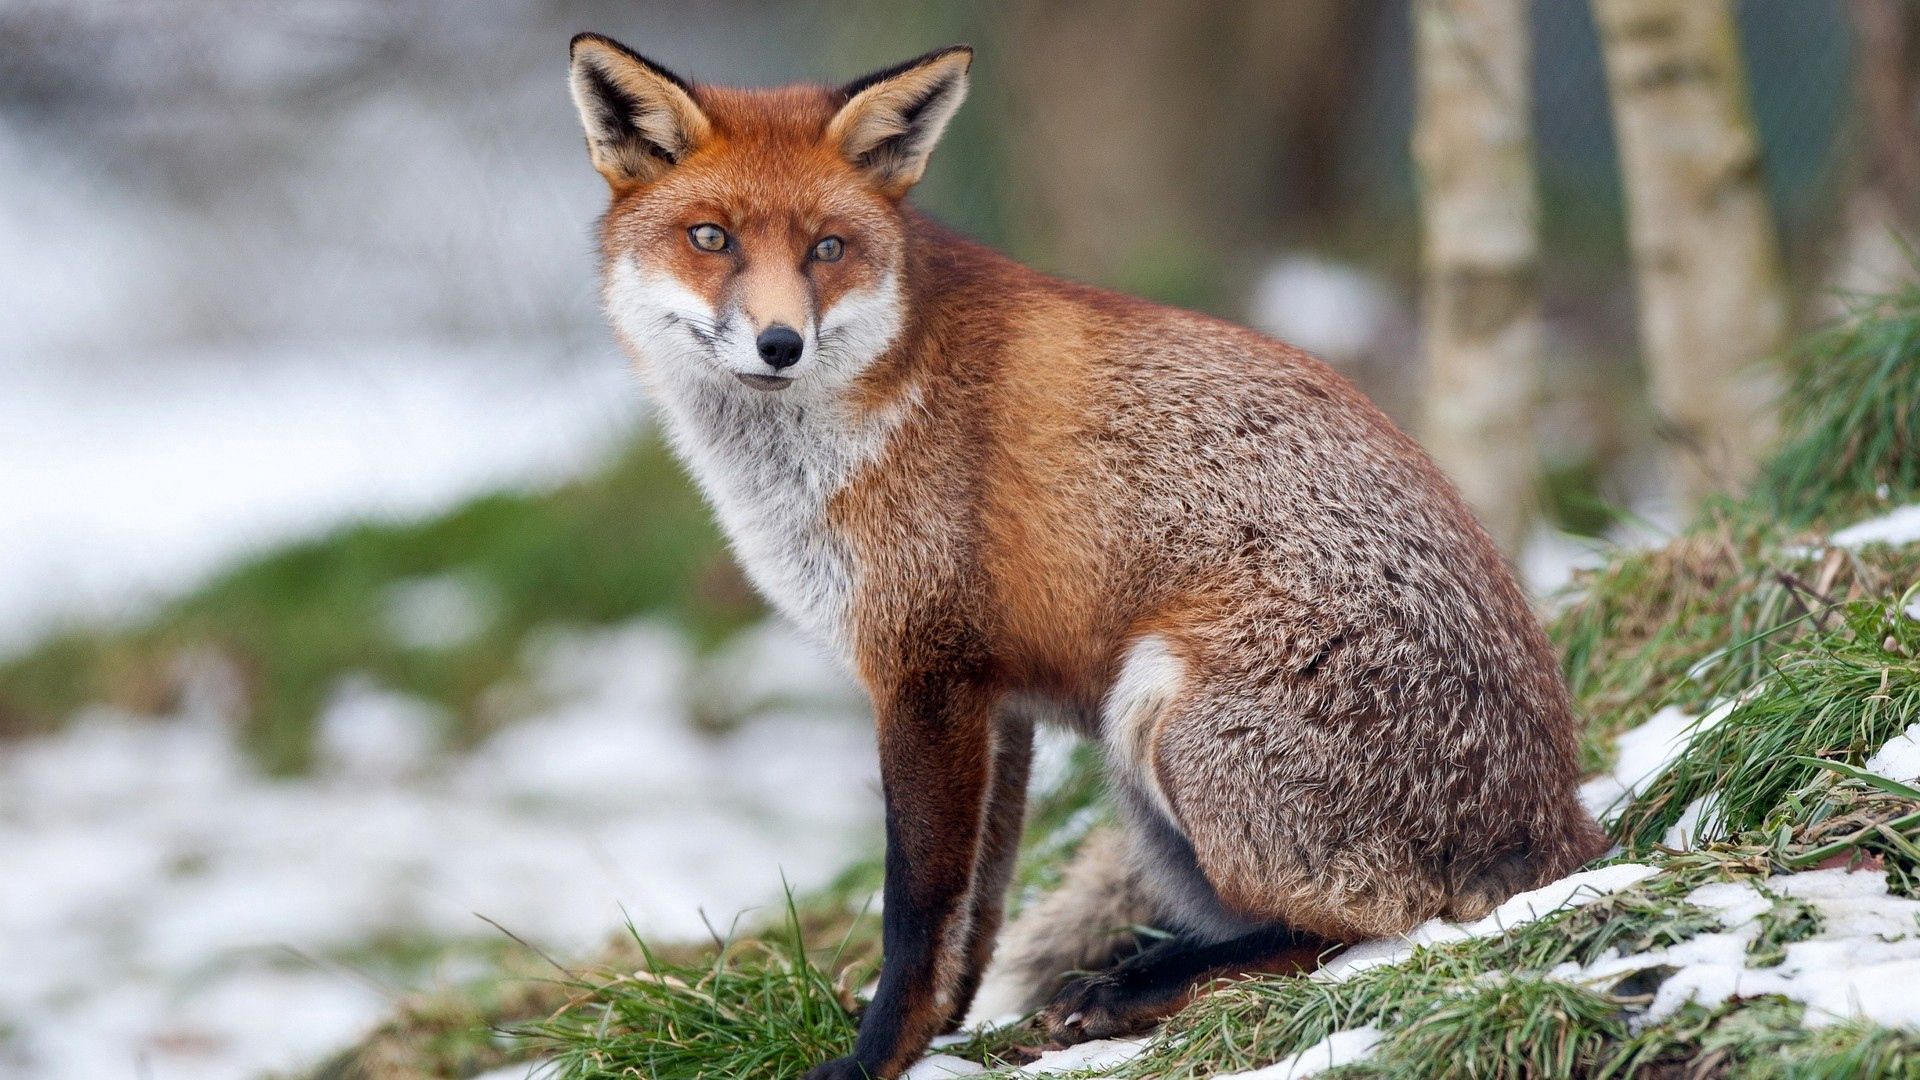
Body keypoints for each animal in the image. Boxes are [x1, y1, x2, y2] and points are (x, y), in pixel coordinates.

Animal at [564, 33, 1605, 1076]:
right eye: (711, 239)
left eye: (827, 248)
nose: (780, 343)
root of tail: (1561, 826)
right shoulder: (992, 699)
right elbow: (977, 909)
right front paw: (942, 1034)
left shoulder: (924, 671)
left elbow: (916, 906)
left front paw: (873, 1058)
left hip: (1157, 708)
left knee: (1362, 924)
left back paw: (1139, 984)